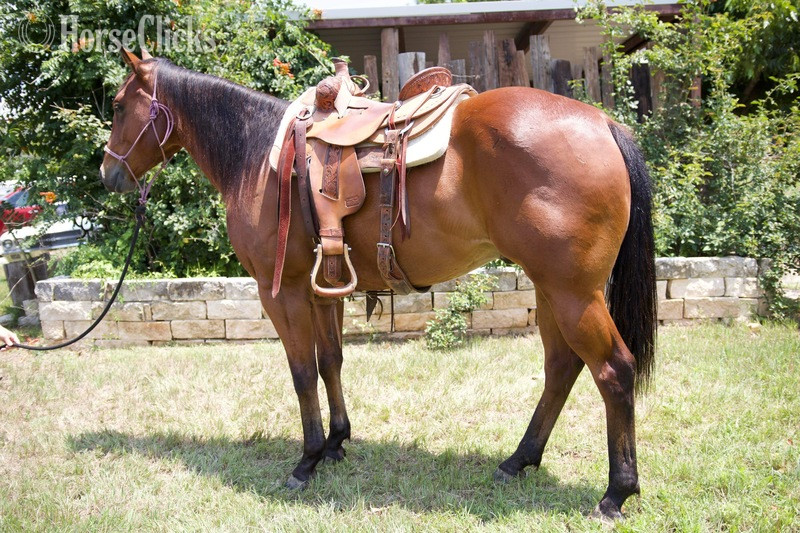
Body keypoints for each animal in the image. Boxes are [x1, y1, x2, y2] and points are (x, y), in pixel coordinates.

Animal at [100, 49, 656, 521]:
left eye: (120, 105)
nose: (109, 173)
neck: (258, 158)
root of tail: (603, 123)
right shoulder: (321, 288)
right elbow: (330, 362)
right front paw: (336, 443)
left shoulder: (281, 290)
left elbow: (302, 372)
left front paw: (306, 460)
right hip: (550, 290)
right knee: (562, 368)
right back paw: (519, 460)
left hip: (572, 293)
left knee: (613, 371)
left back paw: (616, 492)